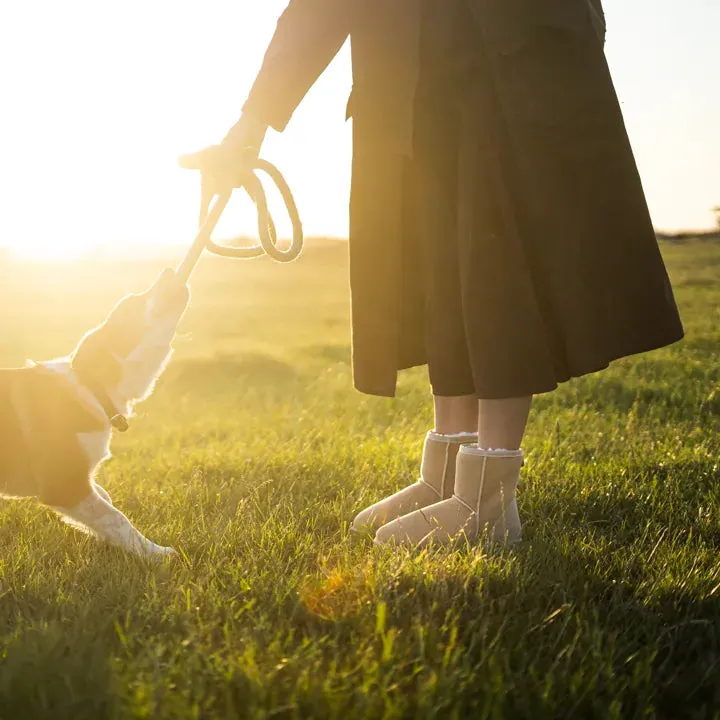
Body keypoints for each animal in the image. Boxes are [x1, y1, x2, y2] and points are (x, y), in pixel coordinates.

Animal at [0, 268, 190, 560]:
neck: (92, 387)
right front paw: (156, 553)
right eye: (132, 305)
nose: (168, 270)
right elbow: (116, 517)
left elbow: (105, 503)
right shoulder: (65, 485)